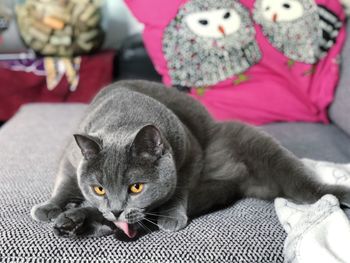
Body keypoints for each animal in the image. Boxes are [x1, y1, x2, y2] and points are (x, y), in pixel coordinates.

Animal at [30, 81, 350, 241]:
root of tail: (234, 180)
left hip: (259, 147)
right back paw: (72, 222)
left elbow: (180, 186)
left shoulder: (191, 151)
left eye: (136, 187)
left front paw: (172, 216)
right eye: (99, 189)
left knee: (308, 187)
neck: (122, 119)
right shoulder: (71, 156)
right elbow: (66, 180)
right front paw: (51, 207)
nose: (117, 209)